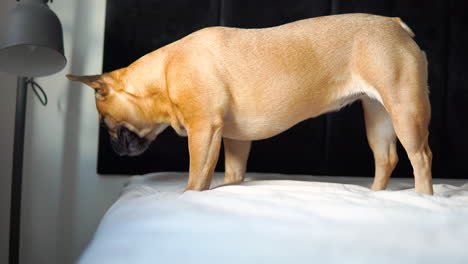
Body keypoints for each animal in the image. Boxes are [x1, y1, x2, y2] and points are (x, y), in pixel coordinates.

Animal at [67, 13, 434, 194]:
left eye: (106, 124)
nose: (114, 149)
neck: (163, 75)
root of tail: (395, 25)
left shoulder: (204, 132)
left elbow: (196, 177)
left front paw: (188, 197)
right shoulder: (233, 139)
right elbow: (232, 174)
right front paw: (230, 188)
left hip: (404, 109)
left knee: (421, 158)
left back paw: (423, 199)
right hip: (379, 117)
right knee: (386, 158)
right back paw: (375, 196)